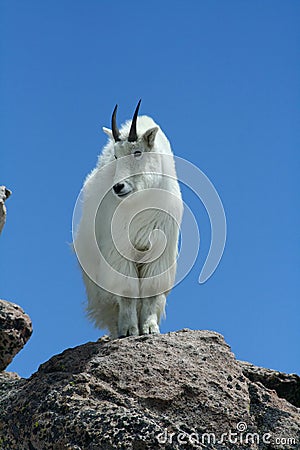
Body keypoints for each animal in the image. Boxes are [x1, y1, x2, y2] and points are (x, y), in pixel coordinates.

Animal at [75, 101, 183, 338]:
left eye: (137, 152)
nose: (119, 187)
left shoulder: (158, 250)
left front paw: (150, 328)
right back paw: (117, 331)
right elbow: (126, 291)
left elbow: (151, 291)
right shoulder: (119, 251)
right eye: (116, 156)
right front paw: (130, 330)